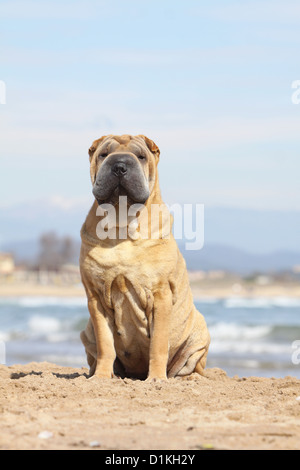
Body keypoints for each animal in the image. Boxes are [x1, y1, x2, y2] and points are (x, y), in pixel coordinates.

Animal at [80, 134, 211, 380]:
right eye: (104, 154)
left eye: (140, 156)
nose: (119, 165)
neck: (122, 225)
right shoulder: (96, 297)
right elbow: (105, 344)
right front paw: (101, 376)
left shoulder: (160, 295)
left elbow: (158, 344)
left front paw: (157, 378)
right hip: (86, 332)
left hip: (200, 333)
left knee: (191, 365)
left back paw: (188, 377)